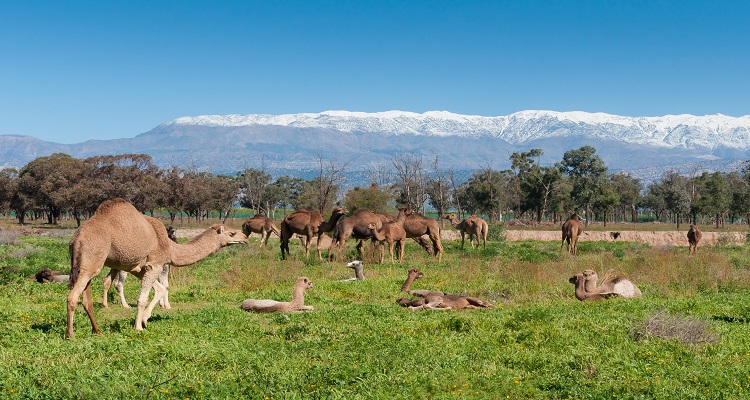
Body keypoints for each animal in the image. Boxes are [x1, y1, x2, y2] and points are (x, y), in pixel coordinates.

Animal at [66, 198, 248, 338]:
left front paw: (145, 319)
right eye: (232, 233)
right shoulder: (155, 264)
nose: (245, 237)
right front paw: (138, 327)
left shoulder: (140, 268)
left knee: (87, 299)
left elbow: (160, 288)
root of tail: (76, 238)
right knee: (72, 296)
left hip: (86, 263)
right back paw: (71, 334)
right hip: (92, 259)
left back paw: (97, 331)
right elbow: (143, 298)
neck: (170, 247)